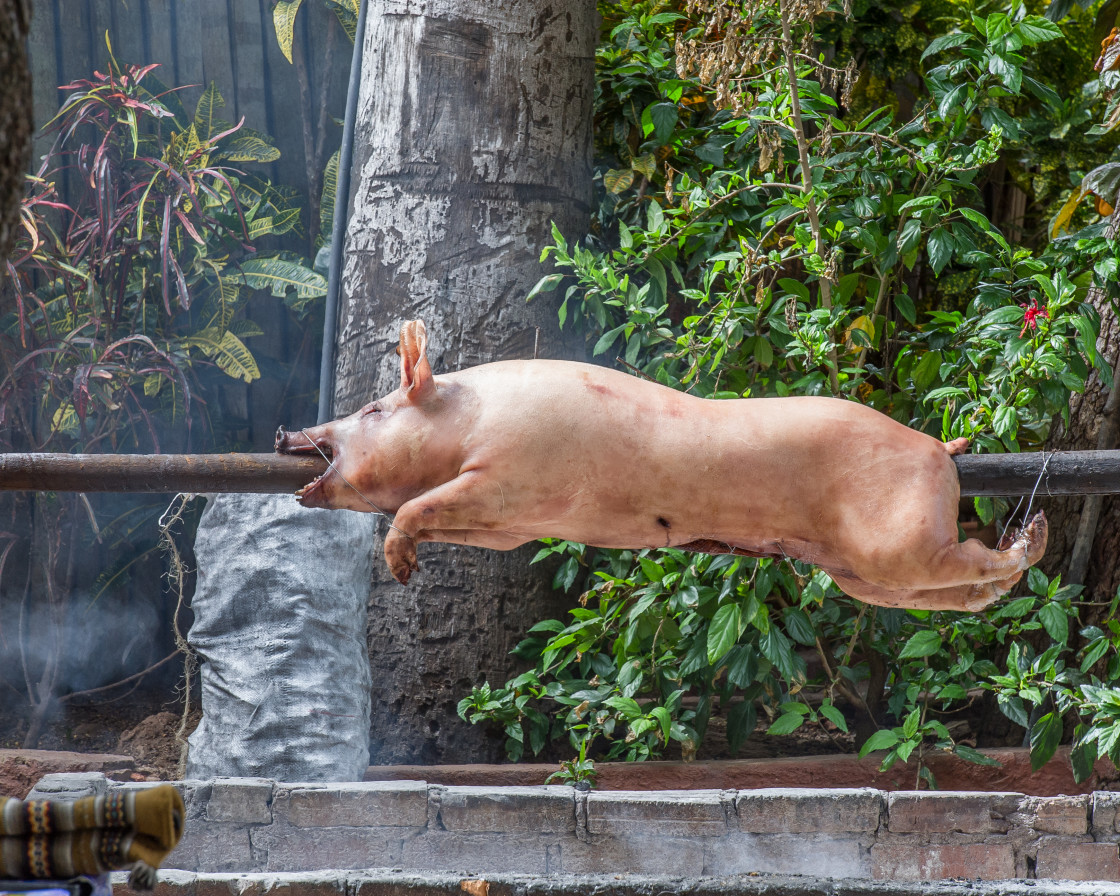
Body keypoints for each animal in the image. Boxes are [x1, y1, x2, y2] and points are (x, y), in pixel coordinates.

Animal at [275, 318, 1043, 613]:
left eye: (375, 408)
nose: (286, 433)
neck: (466, 424)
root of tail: (940, 450)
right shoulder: (512, 523)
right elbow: (453, 522)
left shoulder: (512, 475)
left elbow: (417, 505)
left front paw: (401, 569)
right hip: (866, 574)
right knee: (953, 588)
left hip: (896, 534)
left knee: (967, 559)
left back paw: (1033, 538)